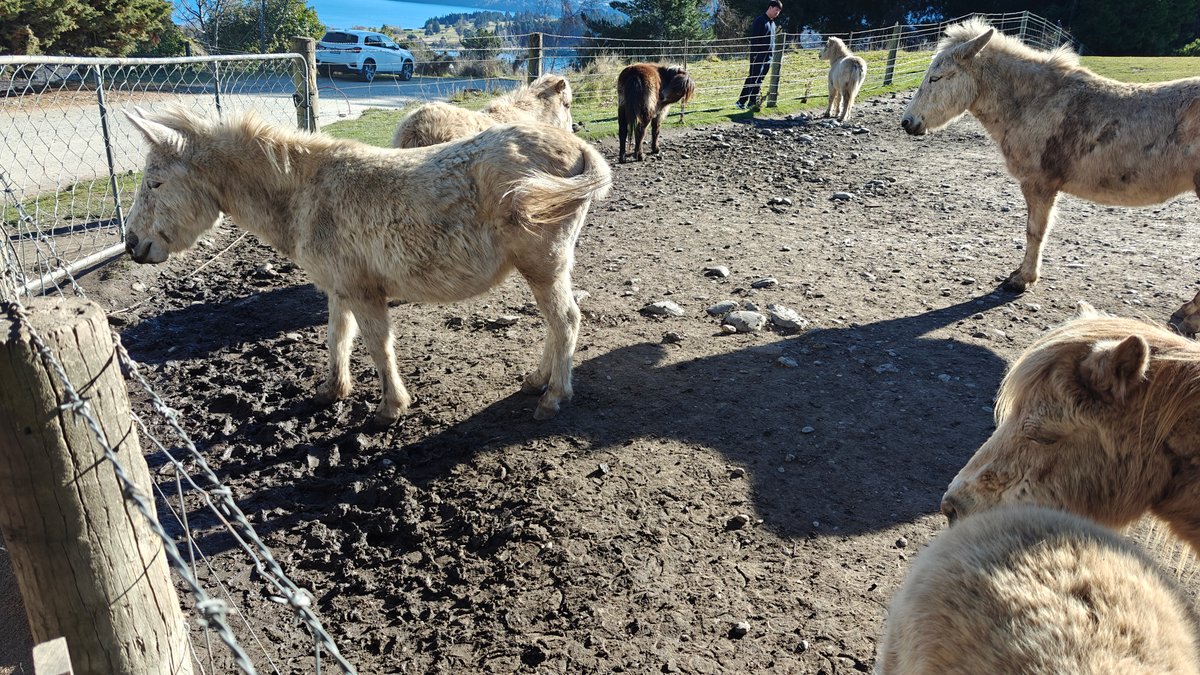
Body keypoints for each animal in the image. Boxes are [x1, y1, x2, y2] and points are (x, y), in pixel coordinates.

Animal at [122, 106, 611, 424]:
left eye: (155, 182)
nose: (131, 245)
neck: (305, 196)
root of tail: (577, 146)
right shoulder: (339, 287)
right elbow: (337, 337)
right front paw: (331, 391)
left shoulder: (363, 291)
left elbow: (378, 346)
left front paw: (390, 409)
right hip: (548, 266)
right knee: (556, 323)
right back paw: (536, 381)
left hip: (543, 262)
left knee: (566, 320)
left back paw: (553, 397)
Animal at [900, 19, 1200, 334]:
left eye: (936, 78)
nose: (907, 122)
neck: (1037, 103)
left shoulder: (1039, 184)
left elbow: (1035, 231)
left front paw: (1022, 279)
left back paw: (1190, 318)